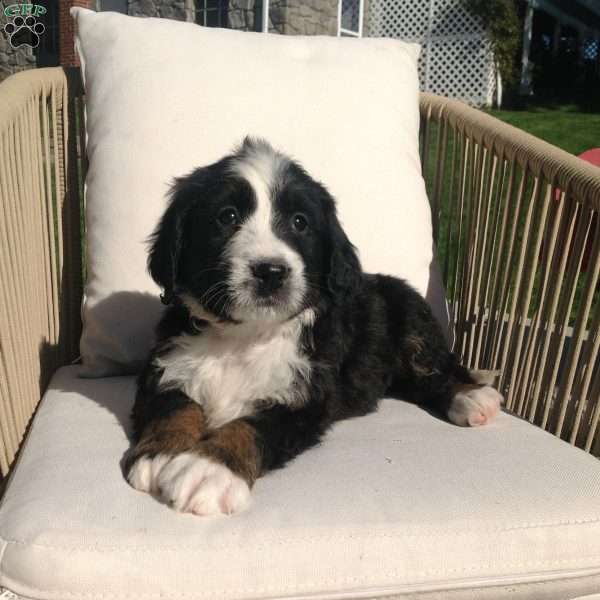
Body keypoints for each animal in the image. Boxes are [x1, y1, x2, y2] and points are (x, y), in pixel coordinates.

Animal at [125, 137, 502, 516]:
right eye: (227, 216)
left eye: (300, 222)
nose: (270, 271)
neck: (242, 336)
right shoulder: (165, 366)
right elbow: (174, 407)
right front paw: (164, 454)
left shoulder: (303, 397)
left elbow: (251, 427)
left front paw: (209, 469)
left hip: (412, 318)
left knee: (435, 371)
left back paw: (471, 397)